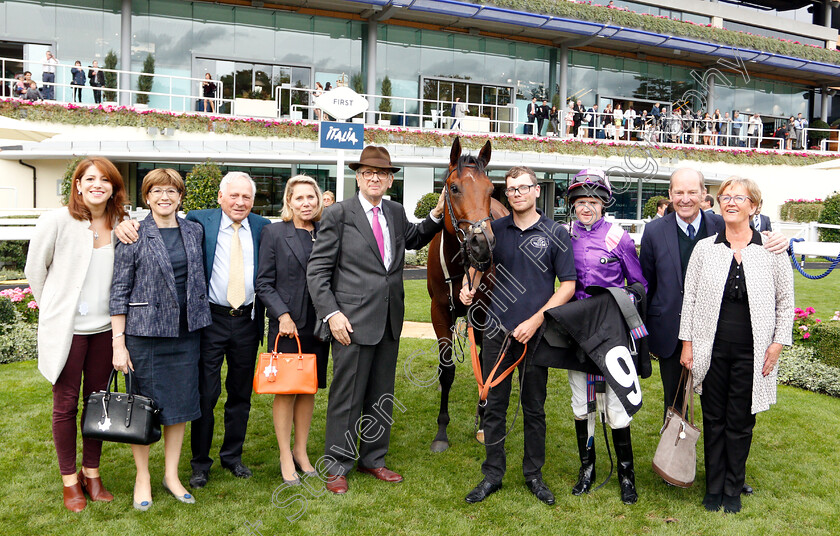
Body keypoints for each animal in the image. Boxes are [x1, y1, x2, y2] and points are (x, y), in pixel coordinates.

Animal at [426, 137, 506, 452]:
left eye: (490, 189)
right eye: (454, 188)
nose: (482, 244)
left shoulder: (483, 314)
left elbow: (484, 365)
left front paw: (483, 423)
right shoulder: (439, 310)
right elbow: (446, 368)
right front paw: (441, 432)